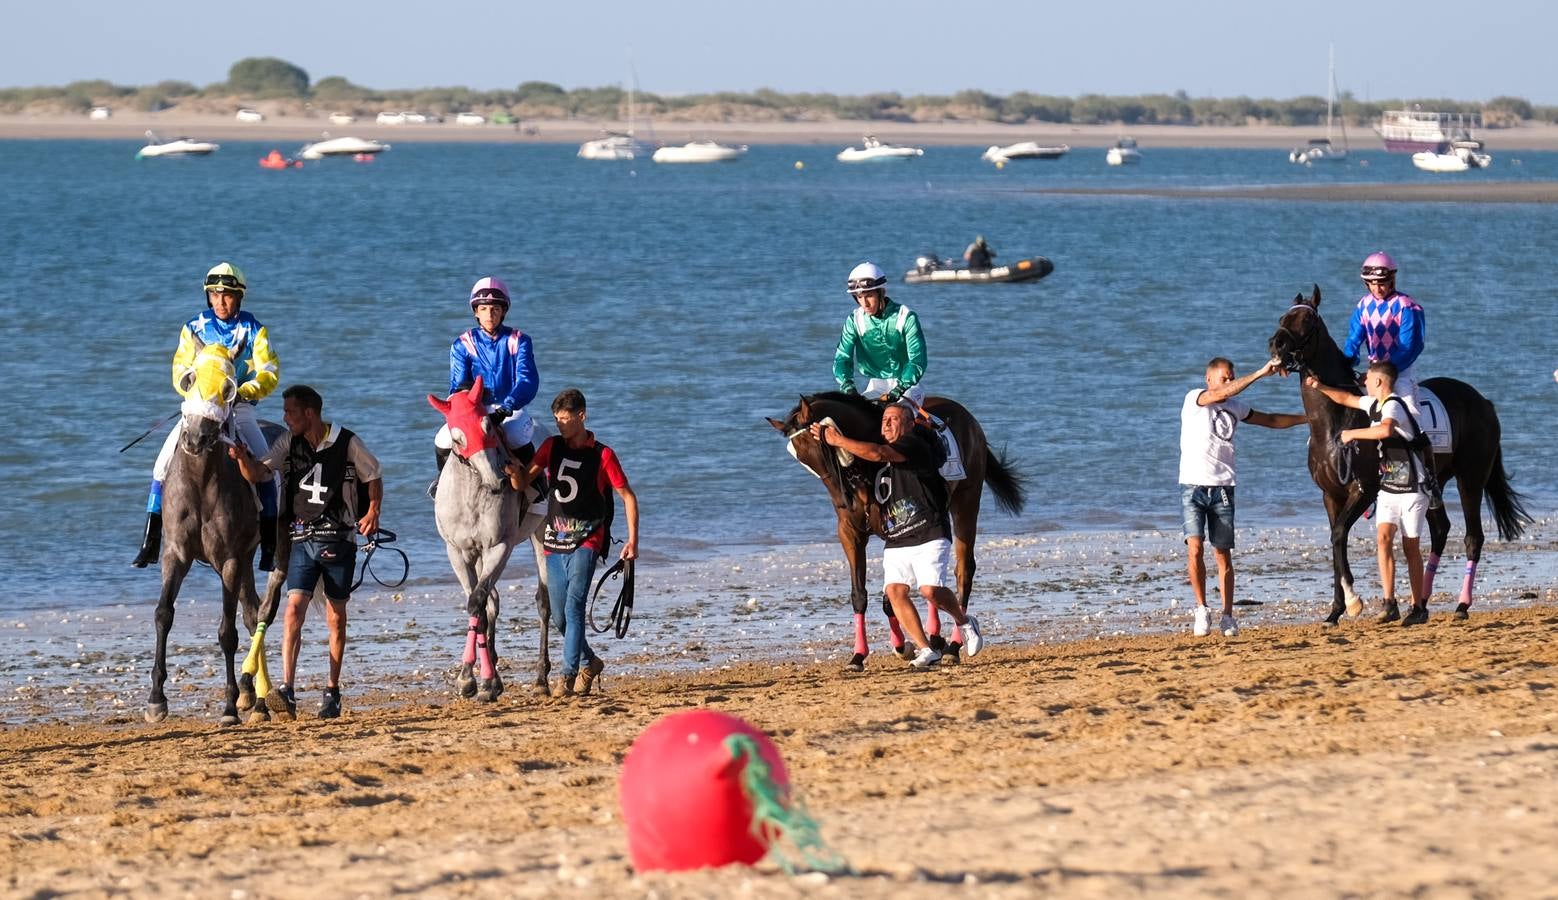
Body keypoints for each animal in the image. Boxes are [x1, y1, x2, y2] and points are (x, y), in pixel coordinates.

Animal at [147, 341, 260, 722]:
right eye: (190, 378)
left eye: (228, 387)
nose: (195, 438)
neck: (200, 482)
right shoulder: (175, 554)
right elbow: (163, 614)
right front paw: (156, 699)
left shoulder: (229, 559)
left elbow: (227, 631)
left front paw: (229, 705)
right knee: (252, 609)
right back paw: (253, 693)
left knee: (256, 613)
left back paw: (256, 695)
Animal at [426, 375, 554, 697]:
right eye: (458, 438)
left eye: (487, 426)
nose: (497, 480)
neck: (472, 493)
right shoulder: (458, 552)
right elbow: (480, 604)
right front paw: (476, 677)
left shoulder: (499, 546)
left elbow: (477, 601)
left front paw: (478, 679)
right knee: (493, 601)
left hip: (540, 533)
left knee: (543, 601)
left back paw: (541, 679)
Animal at [769, 390, 1028, 666]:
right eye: (802, 460)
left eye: (822, 446)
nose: (841, 501)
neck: (862, 472)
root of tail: (968, 418)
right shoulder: (850, 532)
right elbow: (860, 594)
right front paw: (859, 654)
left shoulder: (892, 530)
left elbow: (888, 598)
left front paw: (903, 646)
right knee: (933, 580)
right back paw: (935, 636)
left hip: (966, 502)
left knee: (963, 571)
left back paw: (955, 644)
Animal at [1265, 283, 1533, 619]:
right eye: (1282, 317)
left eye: (1307, 320)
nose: (1276, 344)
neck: (1334, 424)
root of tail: (1484, 402)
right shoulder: (1330, 494)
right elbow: (1335, 539)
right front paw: (1336, 610)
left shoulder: (1363, 489)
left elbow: (1339, 534)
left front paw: (1353, 601)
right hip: (1434, 481)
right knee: (1441, 529)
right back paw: (1422, 602)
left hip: (1470, 480)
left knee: (1473, 537)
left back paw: (1461, 605)